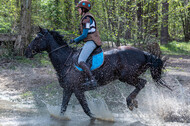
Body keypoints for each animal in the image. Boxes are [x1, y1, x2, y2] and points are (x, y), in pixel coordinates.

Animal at [24, 27, 169, 119]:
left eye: (36, 39)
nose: (26, 52)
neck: (66, 60)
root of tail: (144, 53)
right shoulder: (68, 89)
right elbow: (63, 109)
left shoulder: (77, 90)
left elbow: (86, 110)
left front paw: (99, 118)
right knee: (141, 84)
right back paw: (133, 102)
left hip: (127, 76)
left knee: (142, 83)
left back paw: (130, 102)